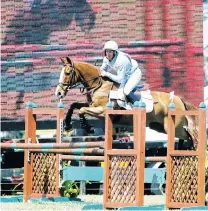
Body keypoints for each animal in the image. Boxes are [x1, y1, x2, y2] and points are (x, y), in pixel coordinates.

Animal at [55, 56, 198, 148]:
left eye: (67, 73)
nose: (59, 93)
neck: (99, 85)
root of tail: (179, 99)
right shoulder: (92, 105)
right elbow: (75, 106)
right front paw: (67, 125)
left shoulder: (102, 111)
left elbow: (82, 110)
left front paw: (87, 127)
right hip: (159, 127)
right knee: (185, 137)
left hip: (172, 126)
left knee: (190, 135)